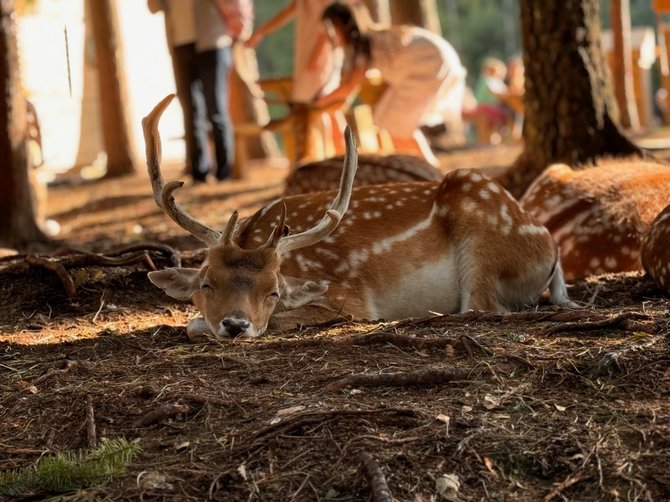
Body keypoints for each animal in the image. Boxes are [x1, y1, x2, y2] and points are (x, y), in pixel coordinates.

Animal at [144, 94, 576, 340]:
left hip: (483, 238)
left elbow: (204, 325)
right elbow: (192, 321)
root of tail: (552, 250)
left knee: (483, 307)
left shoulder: (347, 299)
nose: (236, 325)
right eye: (206, 284)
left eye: (273, 291)